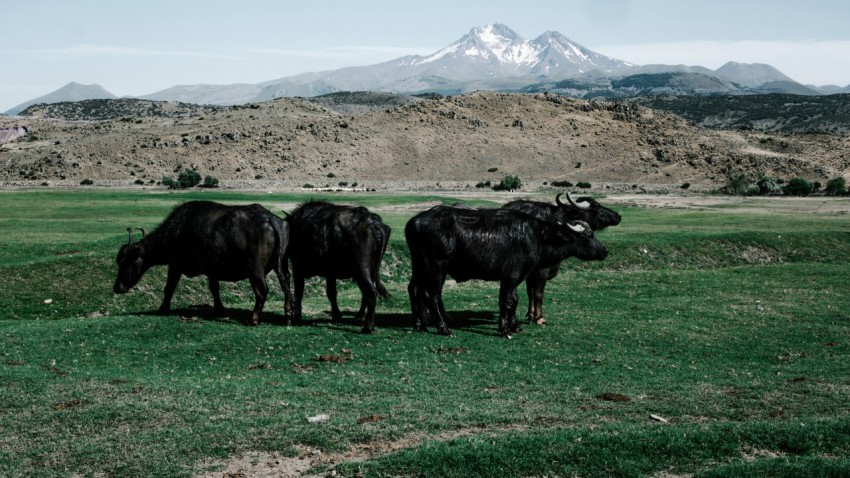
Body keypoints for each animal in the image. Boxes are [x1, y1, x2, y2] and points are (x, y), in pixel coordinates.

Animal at [112, 200, 294, 326]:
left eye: (125, 261)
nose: (117, 288)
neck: (176, 231)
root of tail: (270, 219)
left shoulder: (175, 265)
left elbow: (169, 288)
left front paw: (162, 309)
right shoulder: (212, 271)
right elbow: (214, 289)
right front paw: (220, 310)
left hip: (255, 270)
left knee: (262, 291)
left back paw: (253, 319)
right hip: (282, 265)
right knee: (286, 284)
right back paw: (288, 315)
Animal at [284, 200, 390, 334]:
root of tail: (374, 224)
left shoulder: (297, 267)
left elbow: (299, 292)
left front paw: (297, 317)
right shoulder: (330, 273)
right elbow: (331, 293)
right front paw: (336, 315)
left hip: (361, 270)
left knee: (370, 292)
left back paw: (367, 326)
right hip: (370, 271)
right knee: (366, 294)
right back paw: (360, 318)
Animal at [408, 205, 608, 336]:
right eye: (589, 235)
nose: (605, 251)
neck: (537, 236)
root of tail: (415, 221)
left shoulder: (516, 278)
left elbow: (514, 300)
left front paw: (514, 326)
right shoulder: (511, 277)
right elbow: (507, 301)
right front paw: (505, 329)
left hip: (419, 267)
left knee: (414, 289)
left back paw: (419, 324)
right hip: (435, 268)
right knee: (431, 295)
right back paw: (443, 328)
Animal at [500, 192, 620, 324]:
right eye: (597, 208)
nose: (618, 216)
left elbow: (530, 291)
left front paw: (531, 314)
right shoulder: (541, 269)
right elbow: (538, 293)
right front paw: (539, 317)